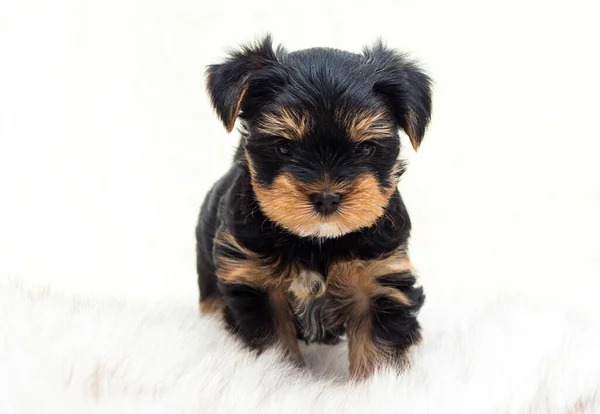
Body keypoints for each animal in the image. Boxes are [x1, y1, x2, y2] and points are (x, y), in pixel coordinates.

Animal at [197, 35, 432, 382]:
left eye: (365, 149)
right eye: (284, 147)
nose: (326, 197)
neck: (316, 241)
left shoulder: (380, 276)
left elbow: (378, 345)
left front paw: (376, 384)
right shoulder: (255, 282)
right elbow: (273, 344)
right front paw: (283, 375)